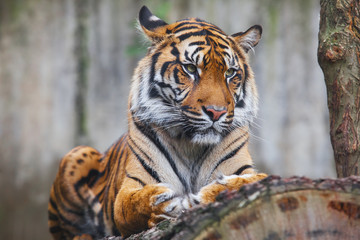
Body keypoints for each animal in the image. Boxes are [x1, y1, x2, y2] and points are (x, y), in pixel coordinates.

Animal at [47, 6, 268, 240]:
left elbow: (254, 179)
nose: (216, 113)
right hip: (76, 154)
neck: (191, 145)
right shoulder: (129, 189)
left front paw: (216, 191)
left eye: (230, 73)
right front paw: (164, 202)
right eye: (190, 69)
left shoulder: (245, 171)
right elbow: (134, 204)